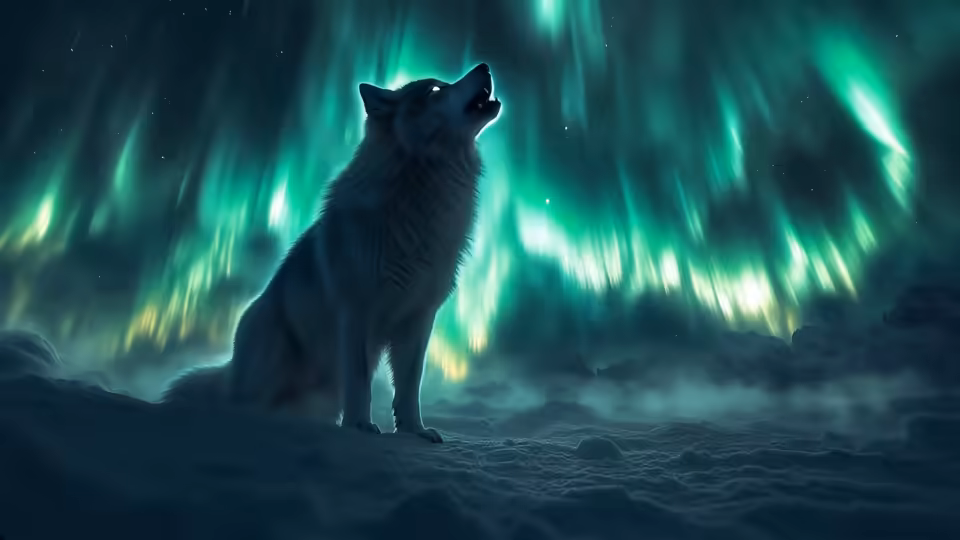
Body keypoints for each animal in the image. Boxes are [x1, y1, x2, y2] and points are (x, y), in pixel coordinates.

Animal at [163, 63, 502, 443]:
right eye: (434, 90)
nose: (485, 66)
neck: (421, 195)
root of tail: (231, 369)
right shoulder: (355, 312)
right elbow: (360, 382)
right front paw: (360, 427)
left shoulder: (418, 319)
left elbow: (408, 387)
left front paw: (414, 431)